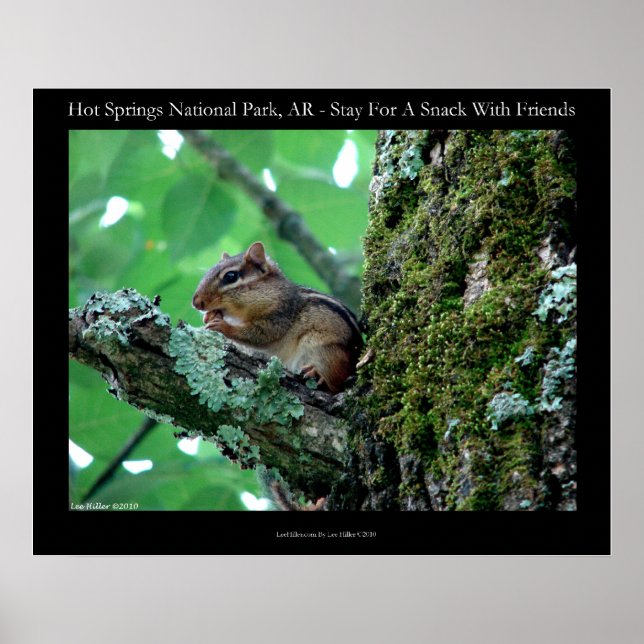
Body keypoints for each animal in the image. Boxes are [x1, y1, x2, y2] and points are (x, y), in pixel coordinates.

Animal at [192, 241, 363, 393]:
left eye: (230, 276)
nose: (196, 302)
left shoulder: (280, 315)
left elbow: (262, 334)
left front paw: (222, 326)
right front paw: (209, 316)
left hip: (324, 350)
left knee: (336, 382)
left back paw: (317, 373)